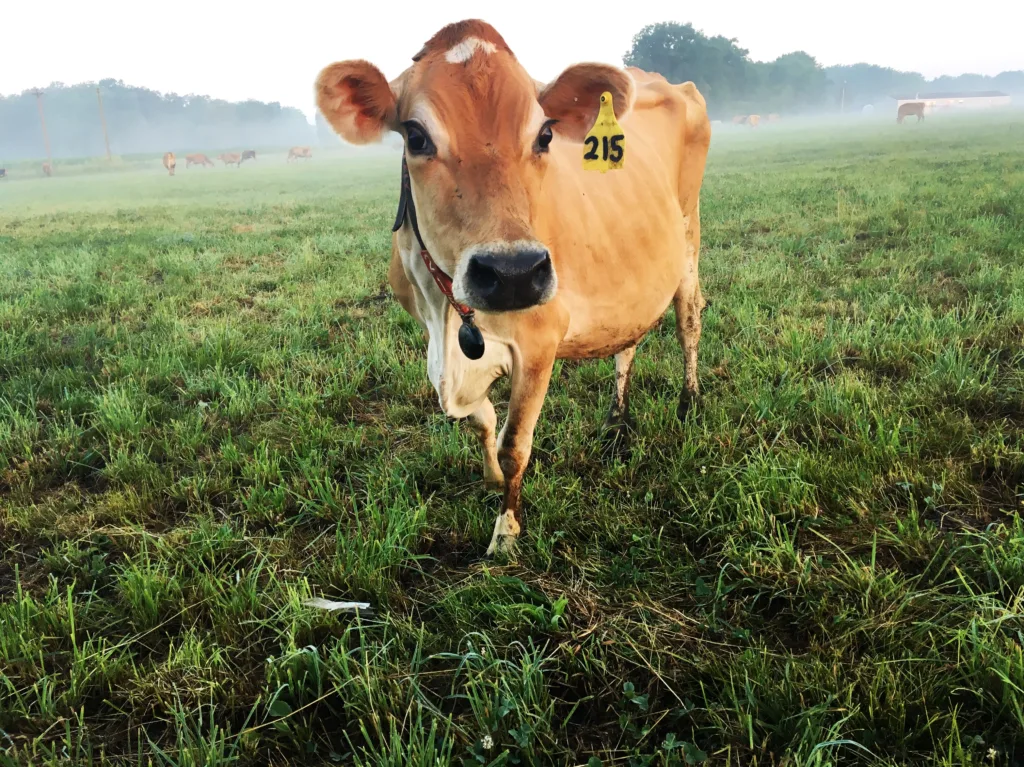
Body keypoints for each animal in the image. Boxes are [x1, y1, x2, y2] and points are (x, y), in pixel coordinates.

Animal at [316, 19, 711, 556]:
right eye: (415, 136)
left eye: (545, 134)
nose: (513, 273)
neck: (449, 314)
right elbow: (480, 419)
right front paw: (487, 478)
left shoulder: (541, 341)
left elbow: (513, 445)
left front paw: (505, 532)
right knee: (626, 343)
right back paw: (615, 419)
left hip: (689, 240)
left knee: (689, 321)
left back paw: (689, 402)